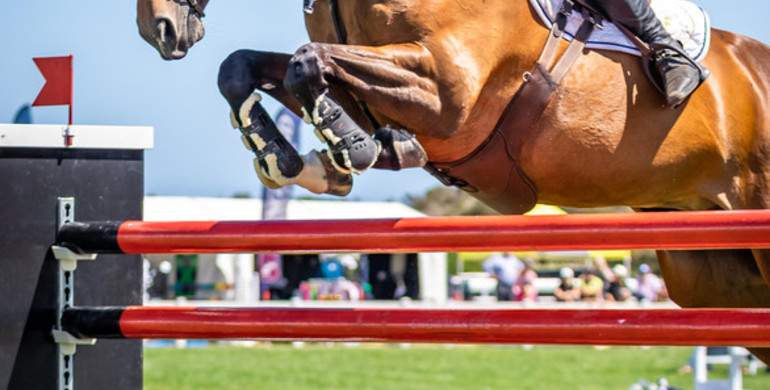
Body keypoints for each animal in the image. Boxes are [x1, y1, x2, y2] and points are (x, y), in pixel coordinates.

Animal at [138, 0, 768, 360]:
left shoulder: (447, 93)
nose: (157, 29)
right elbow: (251, 65)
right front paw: (301, 156)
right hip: (710, 273)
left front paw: (350, 145)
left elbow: (306, 60)